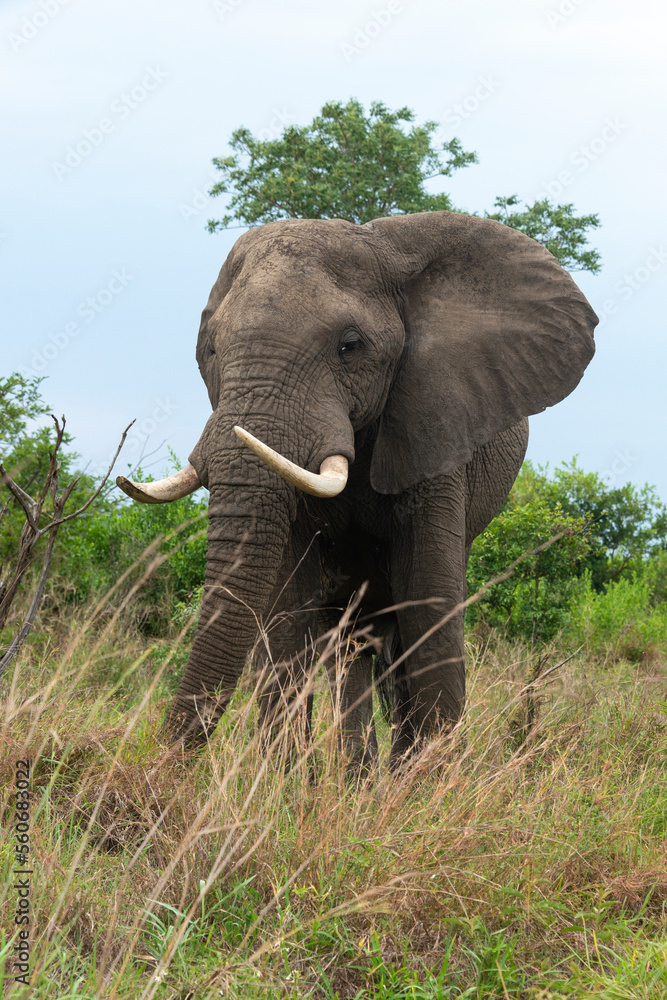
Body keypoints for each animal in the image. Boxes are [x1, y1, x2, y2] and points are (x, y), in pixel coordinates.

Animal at [117, 210, 597, 770]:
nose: (160, 766)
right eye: (211, 350)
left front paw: (428, 785)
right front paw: (284, 784)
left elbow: (429, 600)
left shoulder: (435, 424)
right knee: (350, 644)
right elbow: (287, 610)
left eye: (350, 346)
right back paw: (358, 776)